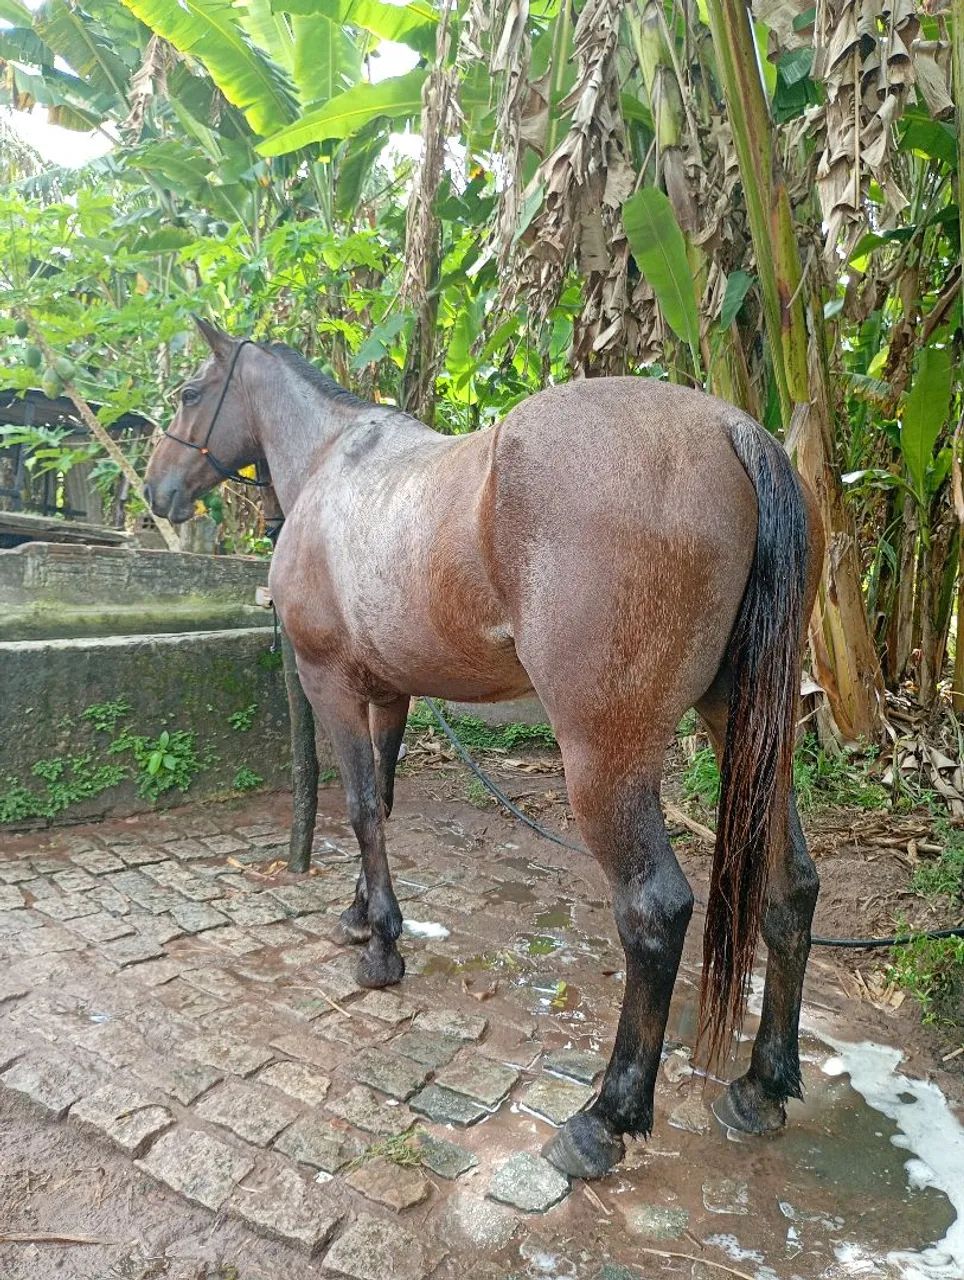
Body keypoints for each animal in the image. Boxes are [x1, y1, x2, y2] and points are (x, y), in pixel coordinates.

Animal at [144, 317, 824, 1181]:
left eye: (190, 391)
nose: (154, 490)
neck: (336, 462)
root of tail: (734, 430)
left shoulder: (330, 683)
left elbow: (358, 806)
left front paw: (382, 948)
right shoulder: (390, 692)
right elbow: (382, 805)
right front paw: (364, 915)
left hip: (605, 760)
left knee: (655, 909)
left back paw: (604, 1118)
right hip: (747, 733)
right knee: (791, 886)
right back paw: (763, 1083)